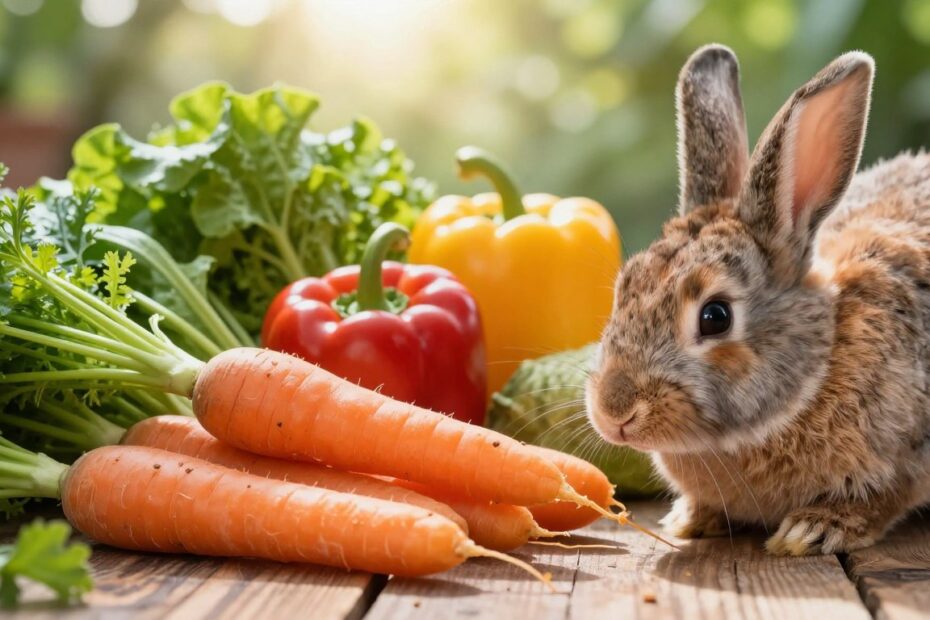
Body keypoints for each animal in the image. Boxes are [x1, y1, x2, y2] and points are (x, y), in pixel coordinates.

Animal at [586, 43, 930, 556]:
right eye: (624, 287)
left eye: (715, 316)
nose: (614, 412)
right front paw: (689, 518)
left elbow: (885, 495)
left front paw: (812, 530)